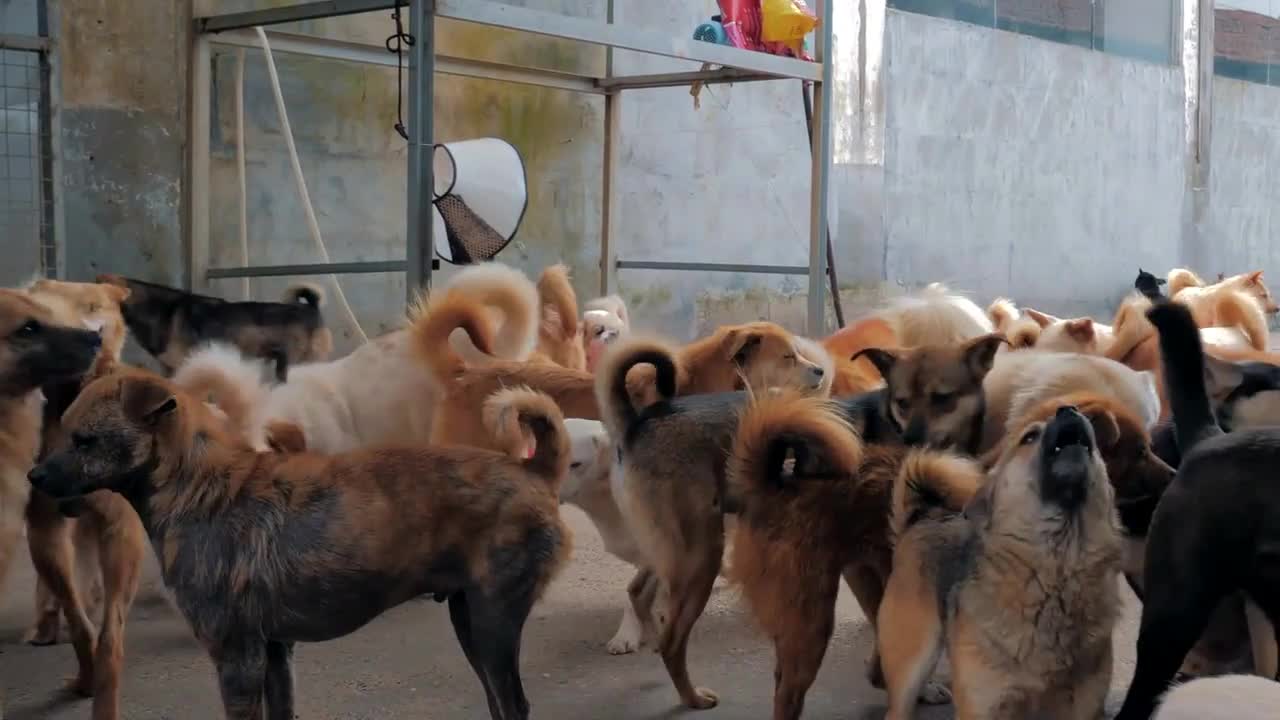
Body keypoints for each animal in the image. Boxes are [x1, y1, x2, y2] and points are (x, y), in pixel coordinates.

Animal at [27, 368, 570, 717]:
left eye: (84, 441)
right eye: (63, 433)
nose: (34, 476)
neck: (194, 483)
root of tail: (533, 471)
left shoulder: (237, 660)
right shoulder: (272, 655)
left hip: (492, 623)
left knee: (514, 704)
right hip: (469, 622)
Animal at [880, 404, 1121, 717]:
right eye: (1029, 437)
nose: (1068, 409)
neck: (1055, 570)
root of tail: (920, 520)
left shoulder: (1083, 706)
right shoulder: (983, 707)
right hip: (914, 654)